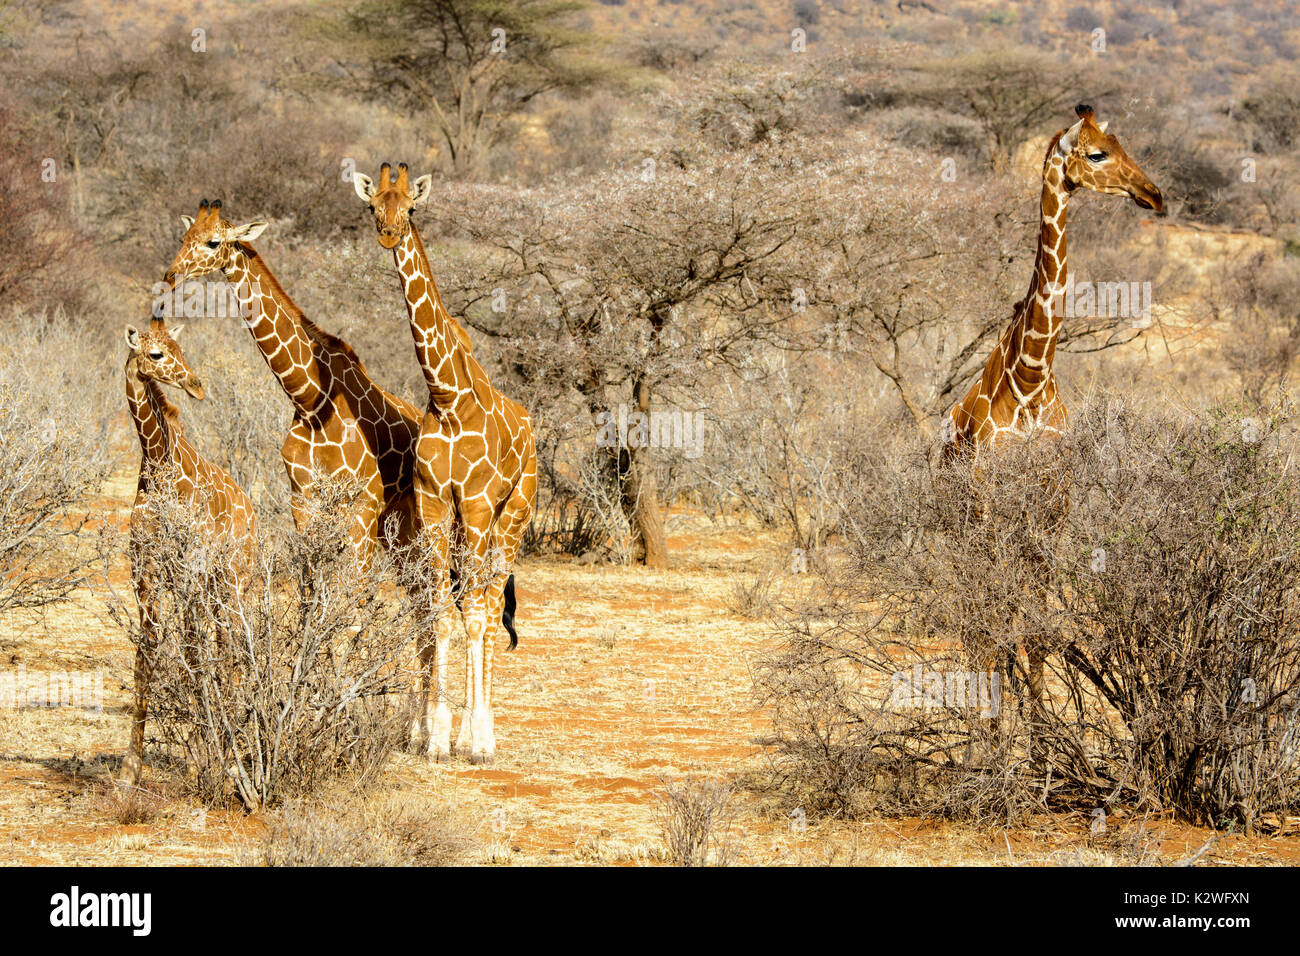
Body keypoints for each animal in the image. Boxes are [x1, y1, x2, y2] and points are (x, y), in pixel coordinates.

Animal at [120, 321, 254, 785]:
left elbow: (194, 649)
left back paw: (234, 737)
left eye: (181, 347)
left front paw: (202, 749)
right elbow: (149, 646)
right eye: (156, 354)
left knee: (233, 645)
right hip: (214, 582)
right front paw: (130, 766)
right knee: (223, 642)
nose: (196, 386)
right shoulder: (144, 566)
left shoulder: (188, 565)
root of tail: (251, 509)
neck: (158, 463)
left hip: (233, 577)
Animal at [353, 162, 535, 764]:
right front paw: (436, 736)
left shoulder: (475, 505)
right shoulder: (434, 506)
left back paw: (488, 734)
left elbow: (474, 617)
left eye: (410, 206)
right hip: (461, 531)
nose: (388, 233)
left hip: (511, 520)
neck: (447, 396)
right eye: (373, 206)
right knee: (466, 604)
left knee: (488, 604)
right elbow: (436, 612)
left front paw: (473, 740)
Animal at [946, 104, 1159, 728]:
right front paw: (1002, 733)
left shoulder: (1053, 504)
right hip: (963, 520)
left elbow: (1036, 630)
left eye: (1123, 144)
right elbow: (996, 625)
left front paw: (1047, 733)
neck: (1033, 377)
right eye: (1096, 154)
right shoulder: (991, 507)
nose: (1154, 195)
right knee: (973, 623)